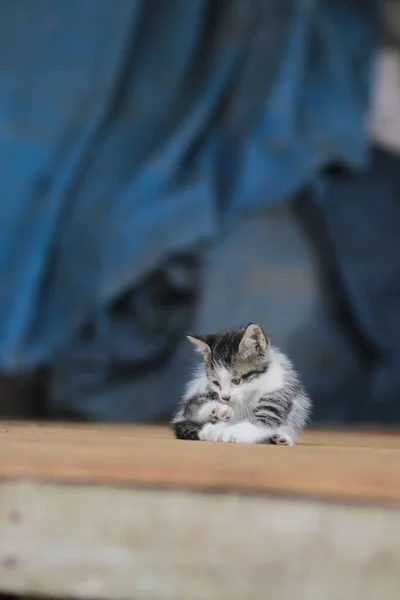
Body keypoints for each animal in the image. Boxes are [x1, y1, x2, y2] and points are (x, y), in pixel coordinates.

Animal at [170, 324, 310, 446]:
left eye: (236, 381)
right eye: (216, 383)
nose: (225, 397)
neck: (250, 394)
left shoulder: (278, 393)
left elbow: (260, 423)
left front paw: (229, 433)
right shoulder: (203, 393)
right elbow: (192, 407)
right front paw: (217, 410)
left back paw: (280, 438)